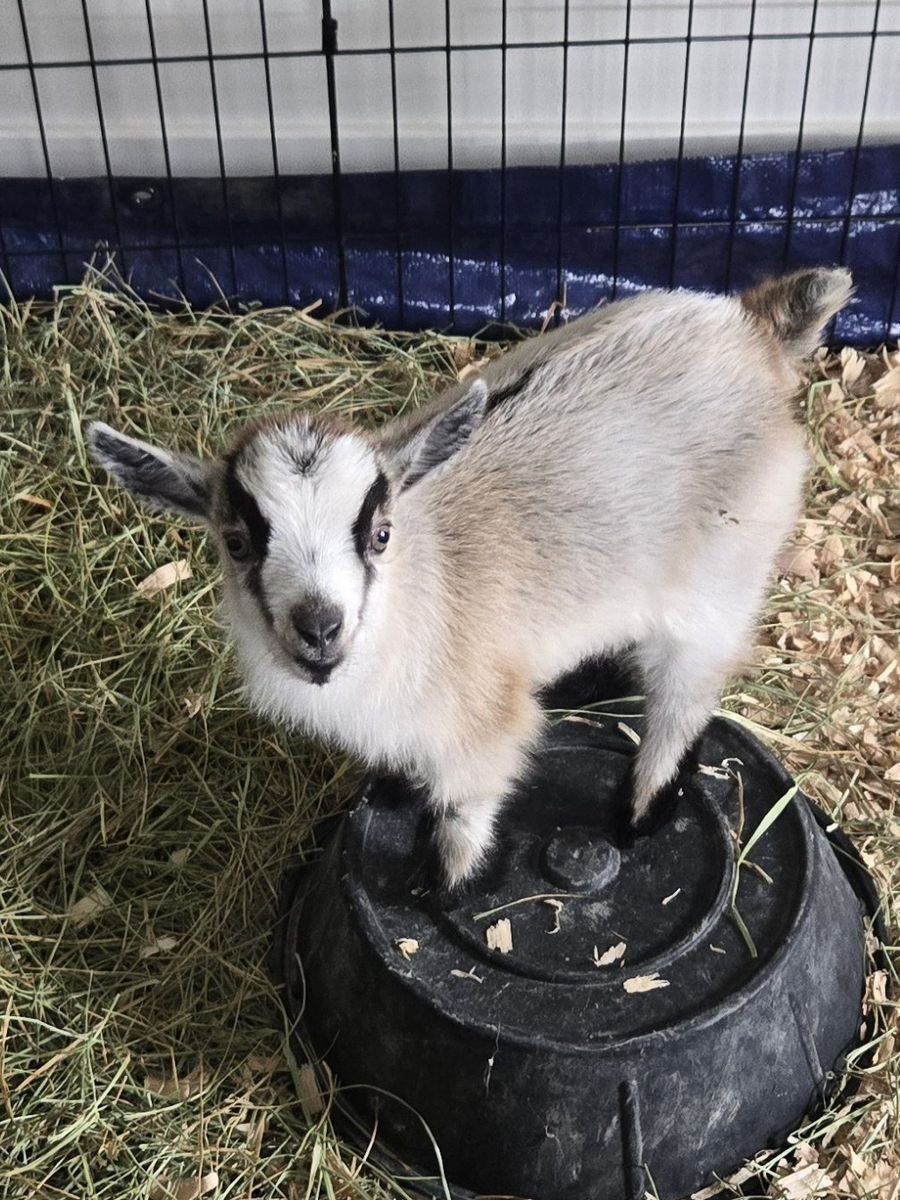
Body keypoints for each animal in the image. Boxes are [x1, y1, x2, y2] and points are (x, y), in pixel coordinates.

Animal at [86, 268, 851, 888]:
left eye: (380, 534)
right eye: (237, 542)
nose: (320, 628)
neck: (422, 592)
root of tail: (749, 328)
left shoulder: (484, 731)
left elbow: (463, 807)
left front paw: (442, 885)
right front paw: (398, 791)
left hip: (720, 582)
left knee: (684, 699)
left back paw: (639, 815)